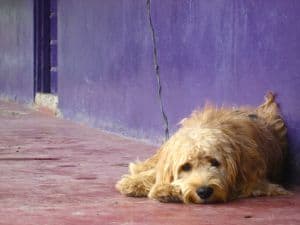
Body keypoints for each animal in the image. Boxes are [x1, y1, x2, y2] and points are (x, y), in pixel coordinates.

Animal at [116, 92, 290, 203]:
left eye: (215, 162)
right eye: (186, 167)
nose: (204, 192)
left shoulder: (256, 182)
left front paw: (167, 190)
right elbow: (158, 172)